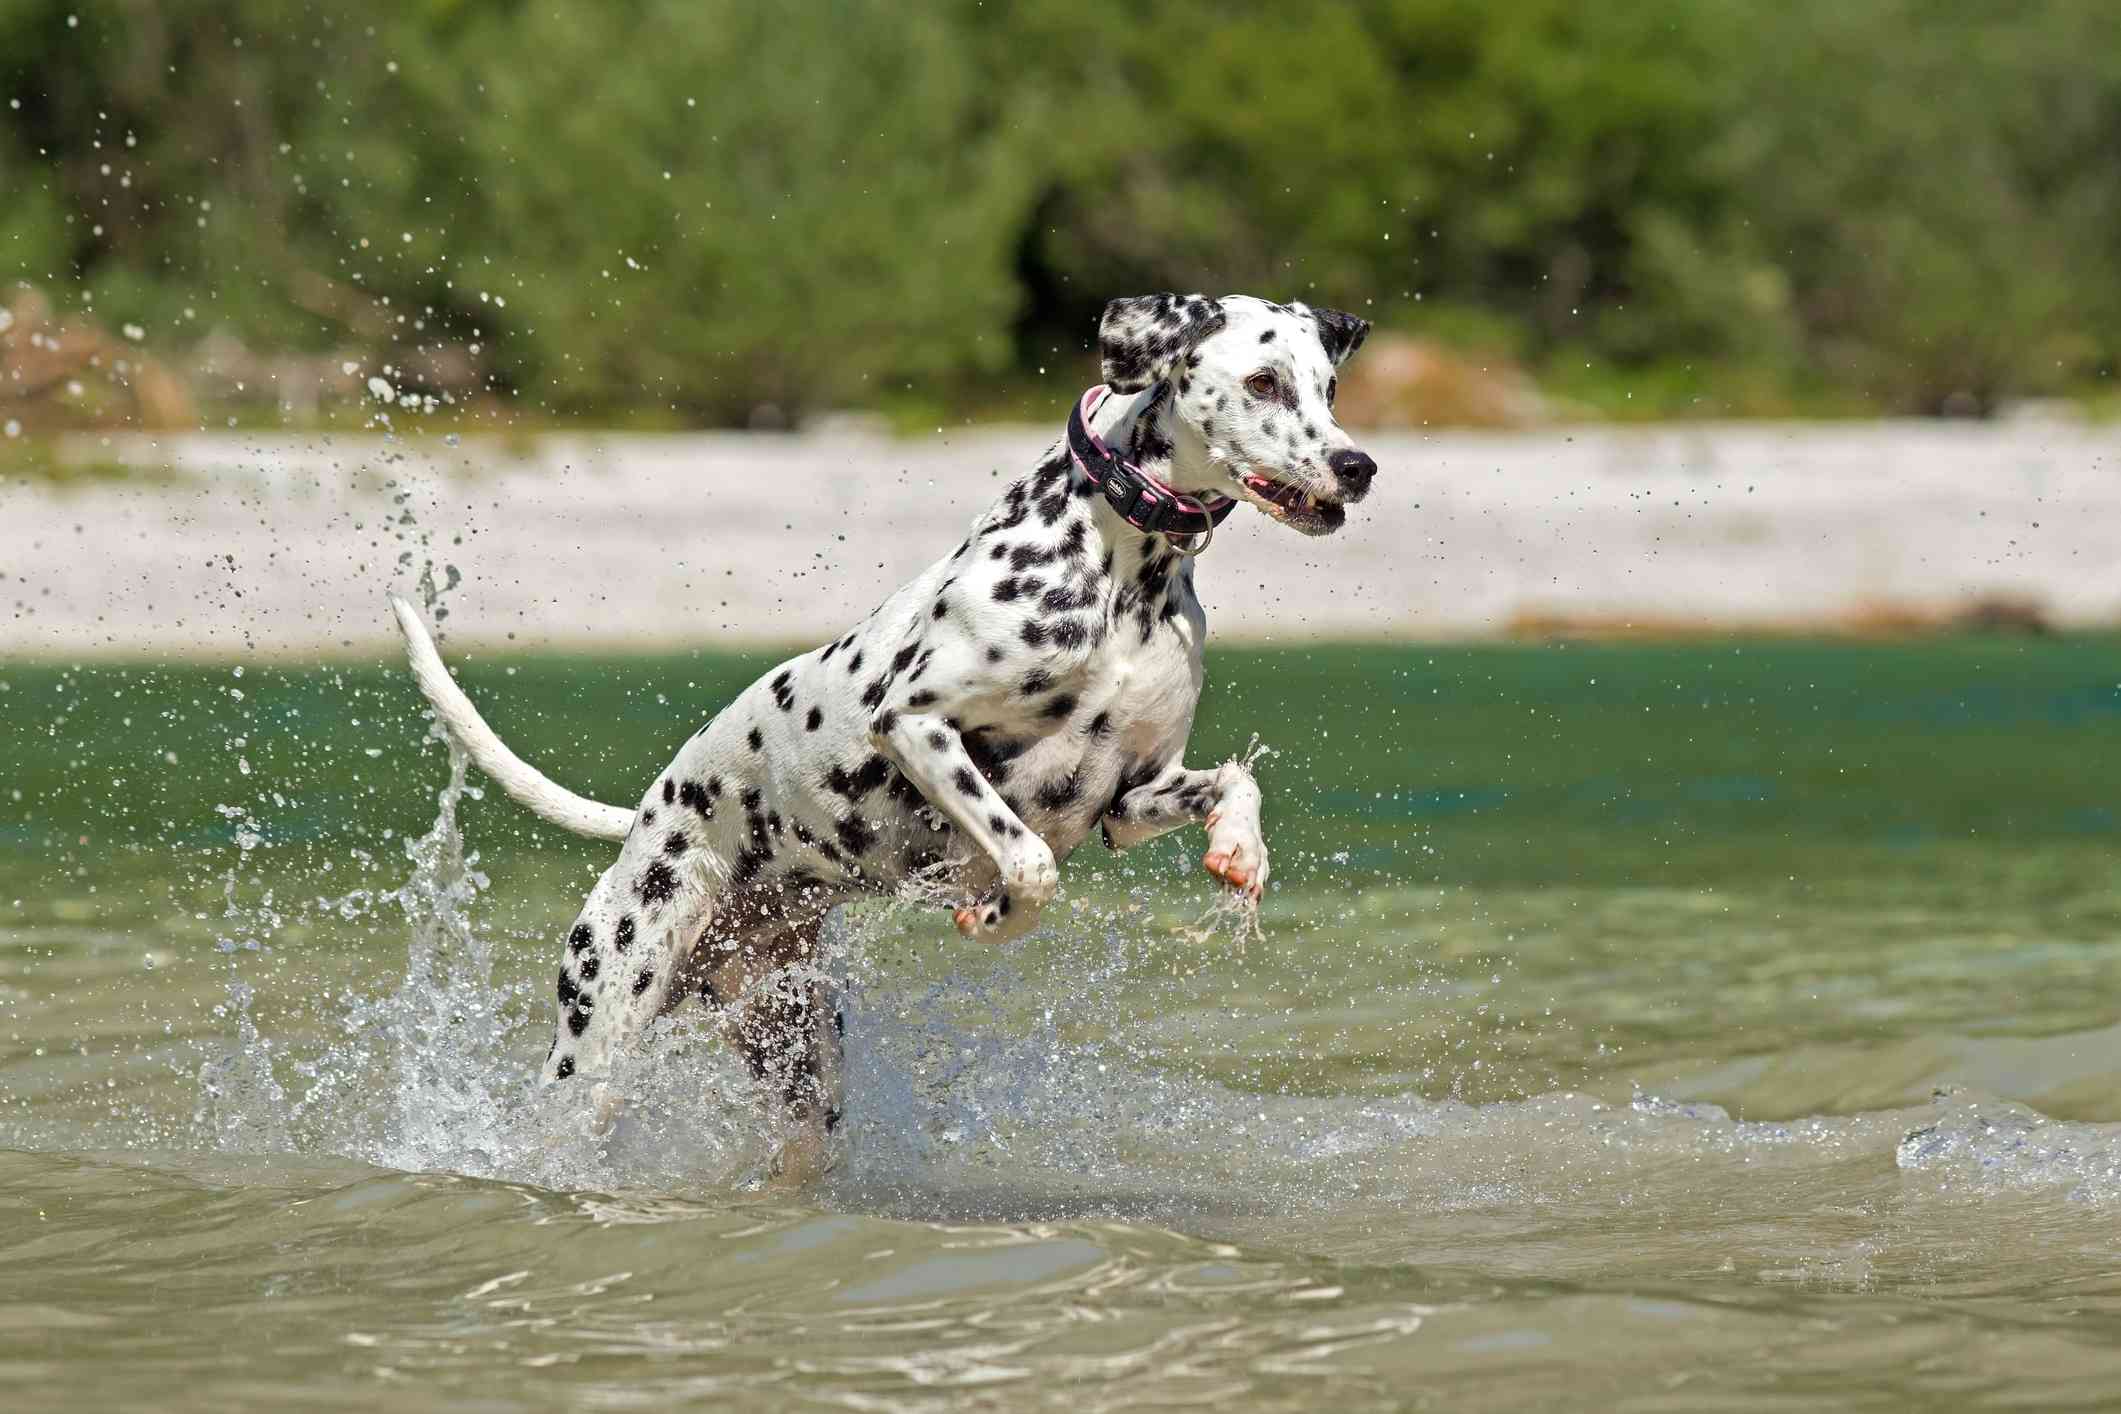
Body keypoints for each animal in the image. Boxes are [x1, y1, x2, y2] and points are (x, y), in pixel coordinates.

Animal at [392, 292, 1374, 1178]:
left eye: (1329, 387)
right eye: (1262, 381)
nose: (1357, 464)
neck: (1121, 577)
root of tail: (644, 822)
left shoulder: (1129, 799)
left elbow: (1233, 781)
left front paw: (1240, 851)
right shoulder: (917, 725)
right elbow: (1029, 864)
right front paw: (992, 912)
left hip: (799, 1063)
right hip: (597, 1041)